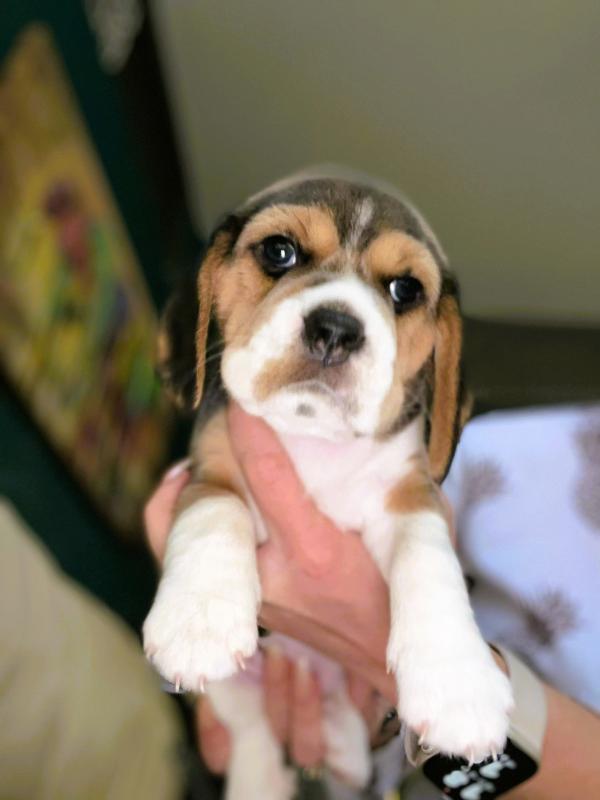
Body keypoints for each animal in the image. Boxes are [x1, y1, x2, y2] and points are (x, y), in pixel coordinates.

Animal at [143, 168, 513, 798]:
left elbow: (428, 560)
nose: (337, 328)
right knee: (254, 735)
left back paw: (344, 752)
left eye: (404, 290)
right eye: (279, 252)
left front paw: (459, 686)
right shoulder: (209, 463)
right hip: (237, 694)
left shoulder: (411, 495)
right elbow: (215, 509)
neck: (313, 442)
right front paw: (198, 617)